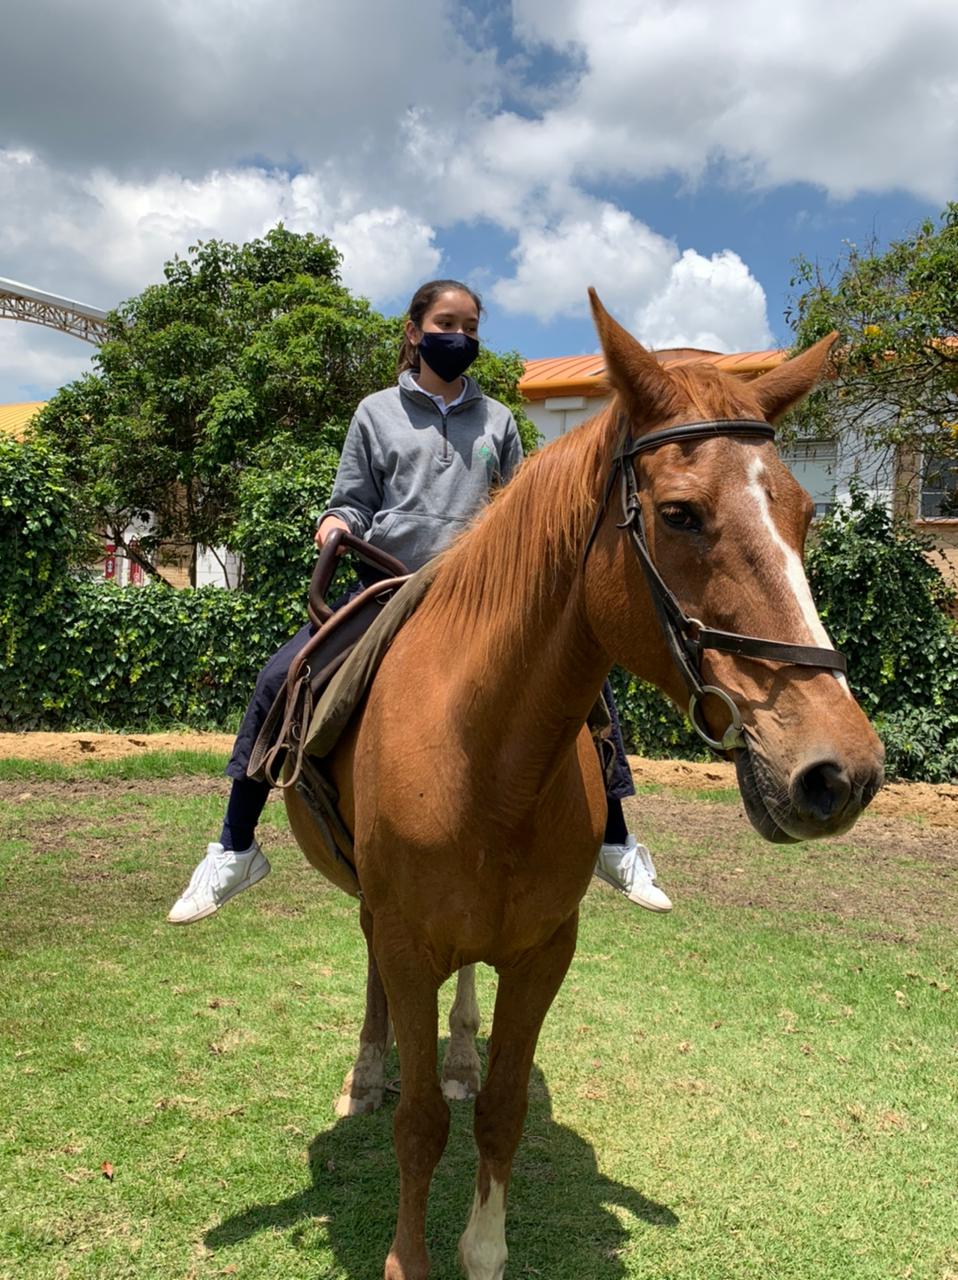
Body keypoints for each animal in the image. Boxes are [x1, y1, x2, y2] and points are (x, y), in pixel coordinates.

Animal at [285, 290, 884, 1280]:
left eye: (804, 515)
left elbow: (500, 1111)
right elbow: (420, 1126)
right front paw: (408, 1253)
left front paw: (484, 1246)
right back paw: (368, 1070)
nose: (844, 770)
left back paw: (456, 1051)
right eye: (679, 514)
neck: (489, 761)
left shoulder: (543, 954)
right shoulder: (407, 942)